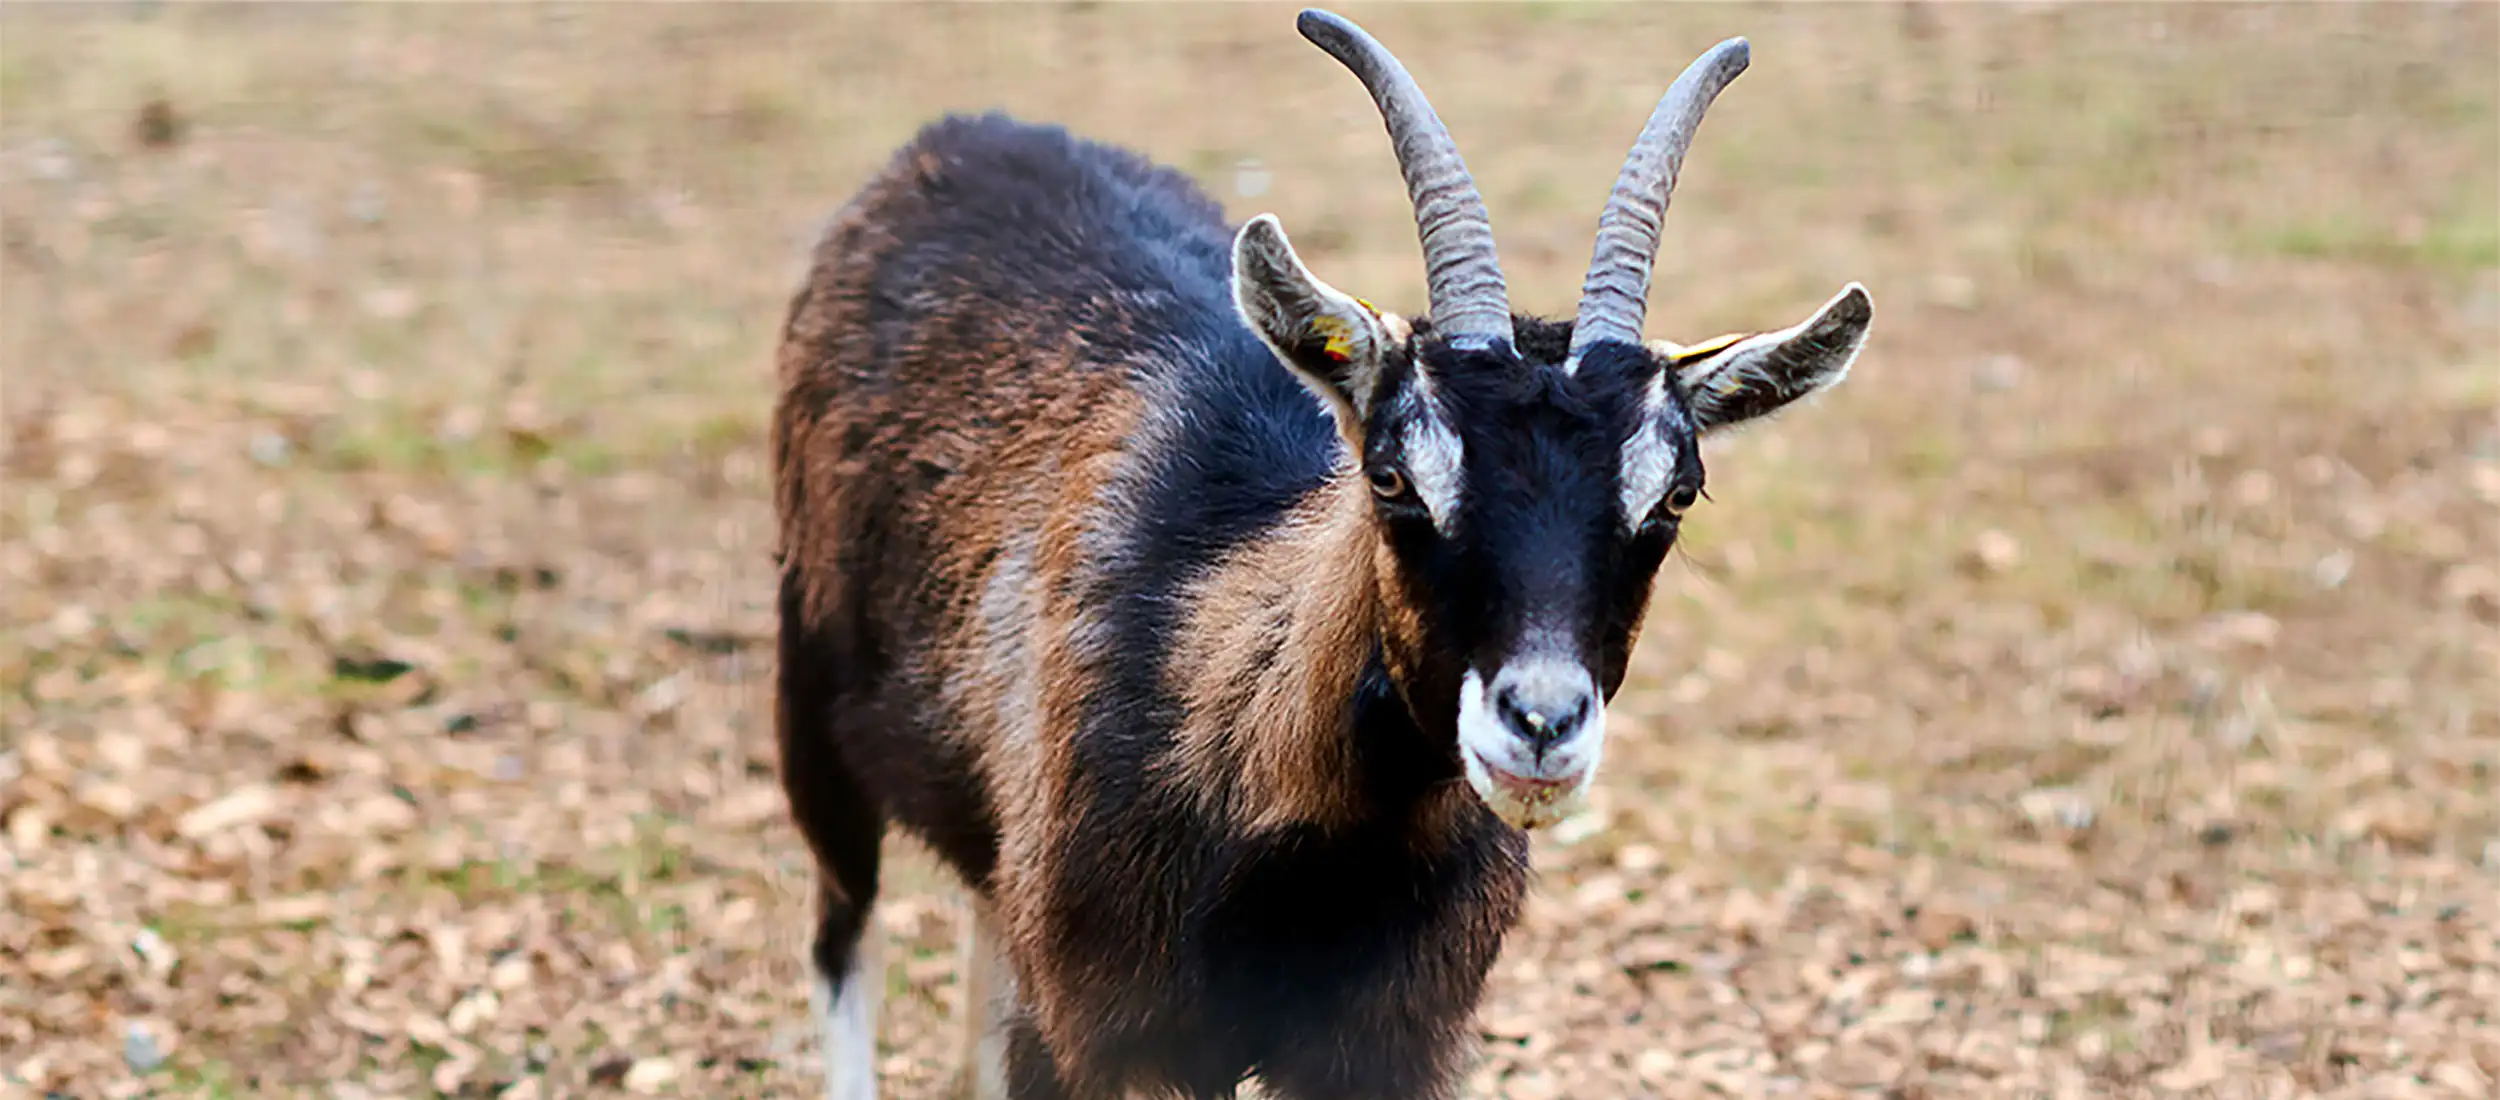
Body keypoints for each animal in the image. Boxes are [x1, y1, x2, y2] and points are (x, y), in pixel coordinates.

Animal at [775, 8, 1880, 1100]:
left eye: (1675, 492)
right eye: (1390, 475)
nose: (1540, 725)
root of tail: (960, 137)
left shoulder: (1386, 1044)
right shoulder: (1101, 1031)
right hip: (813, 709)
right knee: (842, 941)